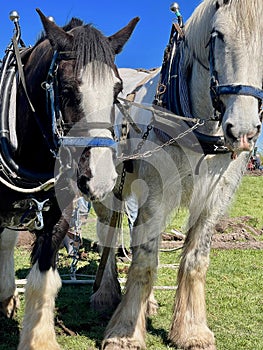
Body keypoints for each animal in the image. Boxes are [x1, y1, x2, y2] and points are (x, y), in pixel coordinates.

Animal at [92, 0, 262, 350]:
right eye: (218, 35)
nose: (243, 130)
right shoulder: (156, 193)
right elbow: (144, 260)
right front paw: (125, 332)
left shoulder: (213, 200)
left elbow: (195, 260)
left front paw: (191, 330)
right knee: (109, 233)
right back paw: (106, 294)